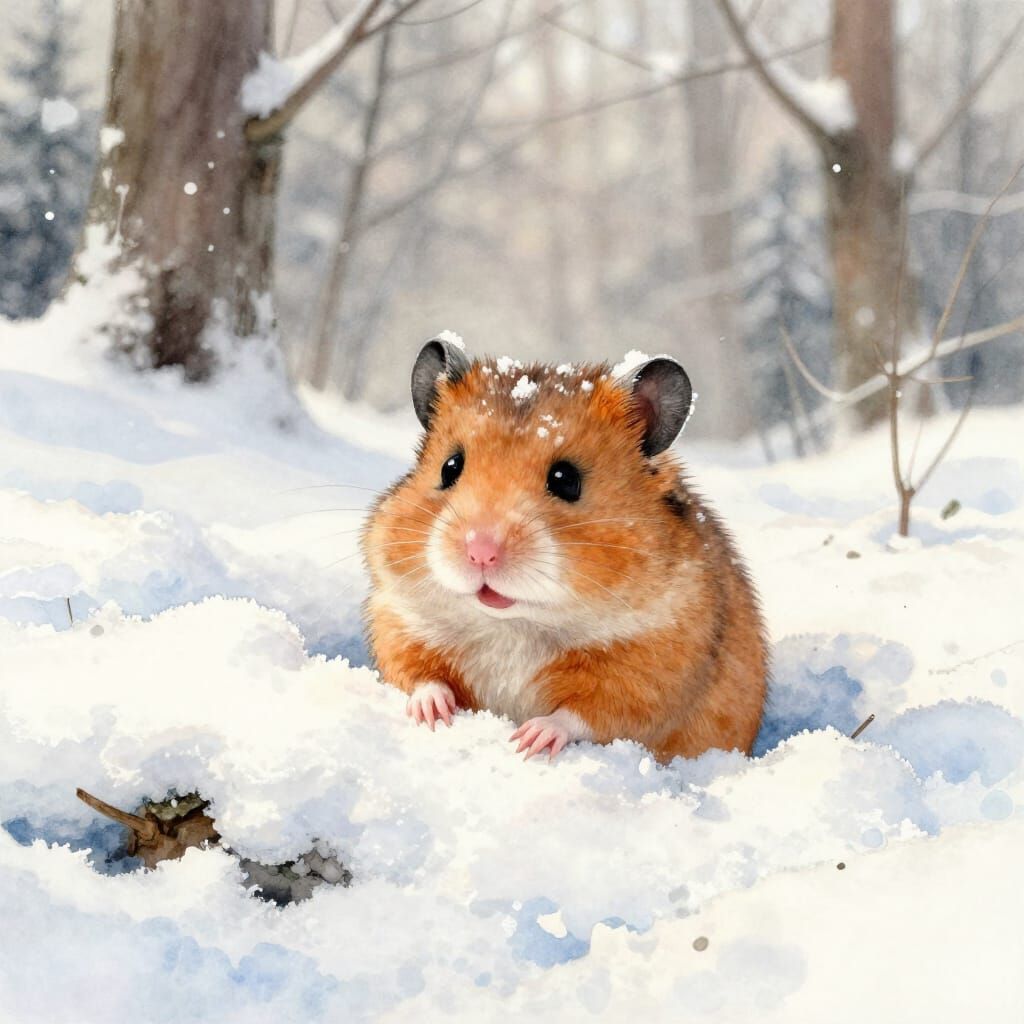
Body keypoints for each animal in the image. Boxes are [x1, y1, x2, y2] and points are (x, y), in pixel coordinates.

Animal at [362, 338, 768, 762]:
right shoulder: (398, 619)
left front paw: (528, 741)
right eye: (450, 467)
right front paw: (434, 715)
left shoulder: (651, 669)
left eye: (566, 479)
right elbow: (419, 674)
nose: (481, 552)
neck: (514, 626)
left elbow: (585, 714)